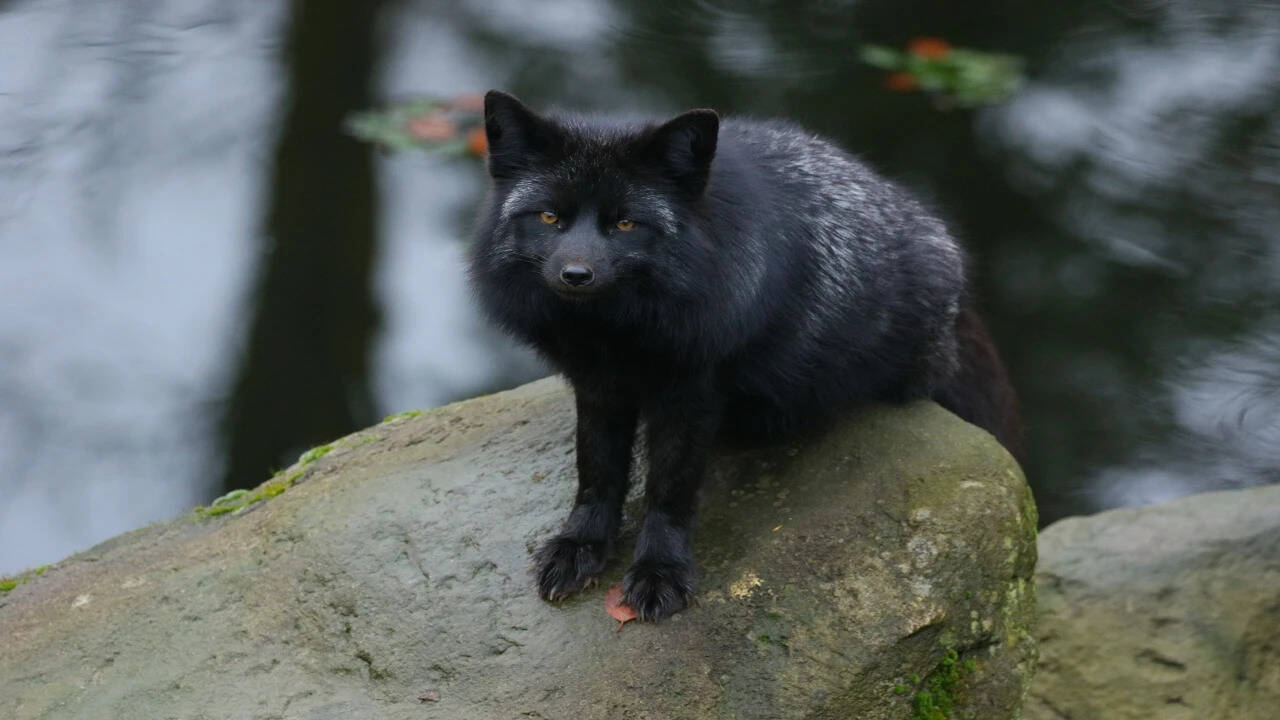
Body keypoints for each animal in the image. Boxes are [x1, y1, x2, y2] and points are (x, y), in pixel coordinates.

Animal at [469, 91, 1020, 620]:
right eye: (549, 217)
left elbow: (669, 492)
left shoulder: (692, 392)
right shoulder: (599, 386)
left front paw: (659, 571)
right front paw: (579, 547)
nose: (575, 274)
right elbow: (597, 473)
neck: (615, 334)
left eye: (626, 224)